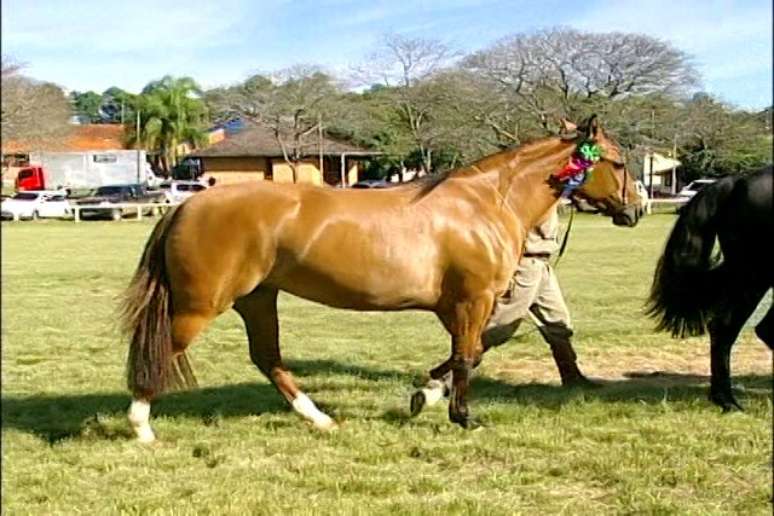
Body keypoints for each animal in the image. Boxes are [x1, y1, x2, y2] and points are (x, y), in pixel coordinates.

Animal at [123, 115, 644, 442]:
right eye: (618, 162)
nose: (635, 210)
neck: (484, 204)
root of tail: (187, 205)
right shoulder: (471, 301)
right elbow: (467, 357)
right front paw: (461, 417)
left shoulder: (463, 307)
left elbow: (470, 354)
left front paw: (425, 395)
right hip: (201, 306)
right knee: (160, 350)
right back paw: (142, 427)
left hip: (257, 298)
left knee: (267, 359)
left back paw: (320, 420)